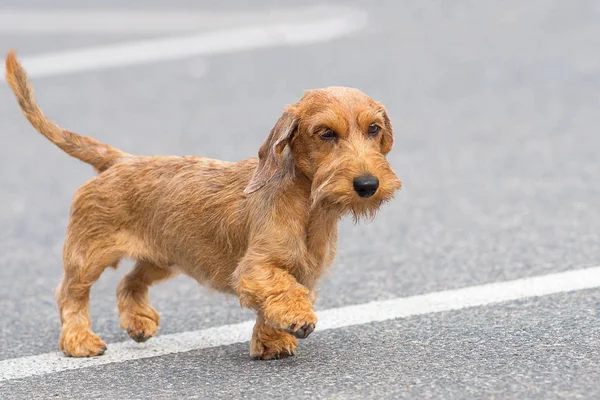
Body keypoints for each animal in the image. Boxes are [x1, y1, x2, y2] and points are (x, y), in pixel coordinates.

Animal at [5, 49, 404, 360]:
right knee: (70, 294)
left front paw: (271, 341)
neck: (307, 207)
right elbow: (281, 289)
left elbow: (274, 303)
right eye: (325, 133)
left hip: (163, 257)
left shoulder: (305, 272)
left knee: (129, 283)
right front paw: (296, 320)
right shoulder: (257, 268)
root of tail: (119, 160)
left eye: (373, 129)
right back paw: (79, 340)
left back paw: (138, 322)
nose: (368, 185)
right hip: (87, 255)